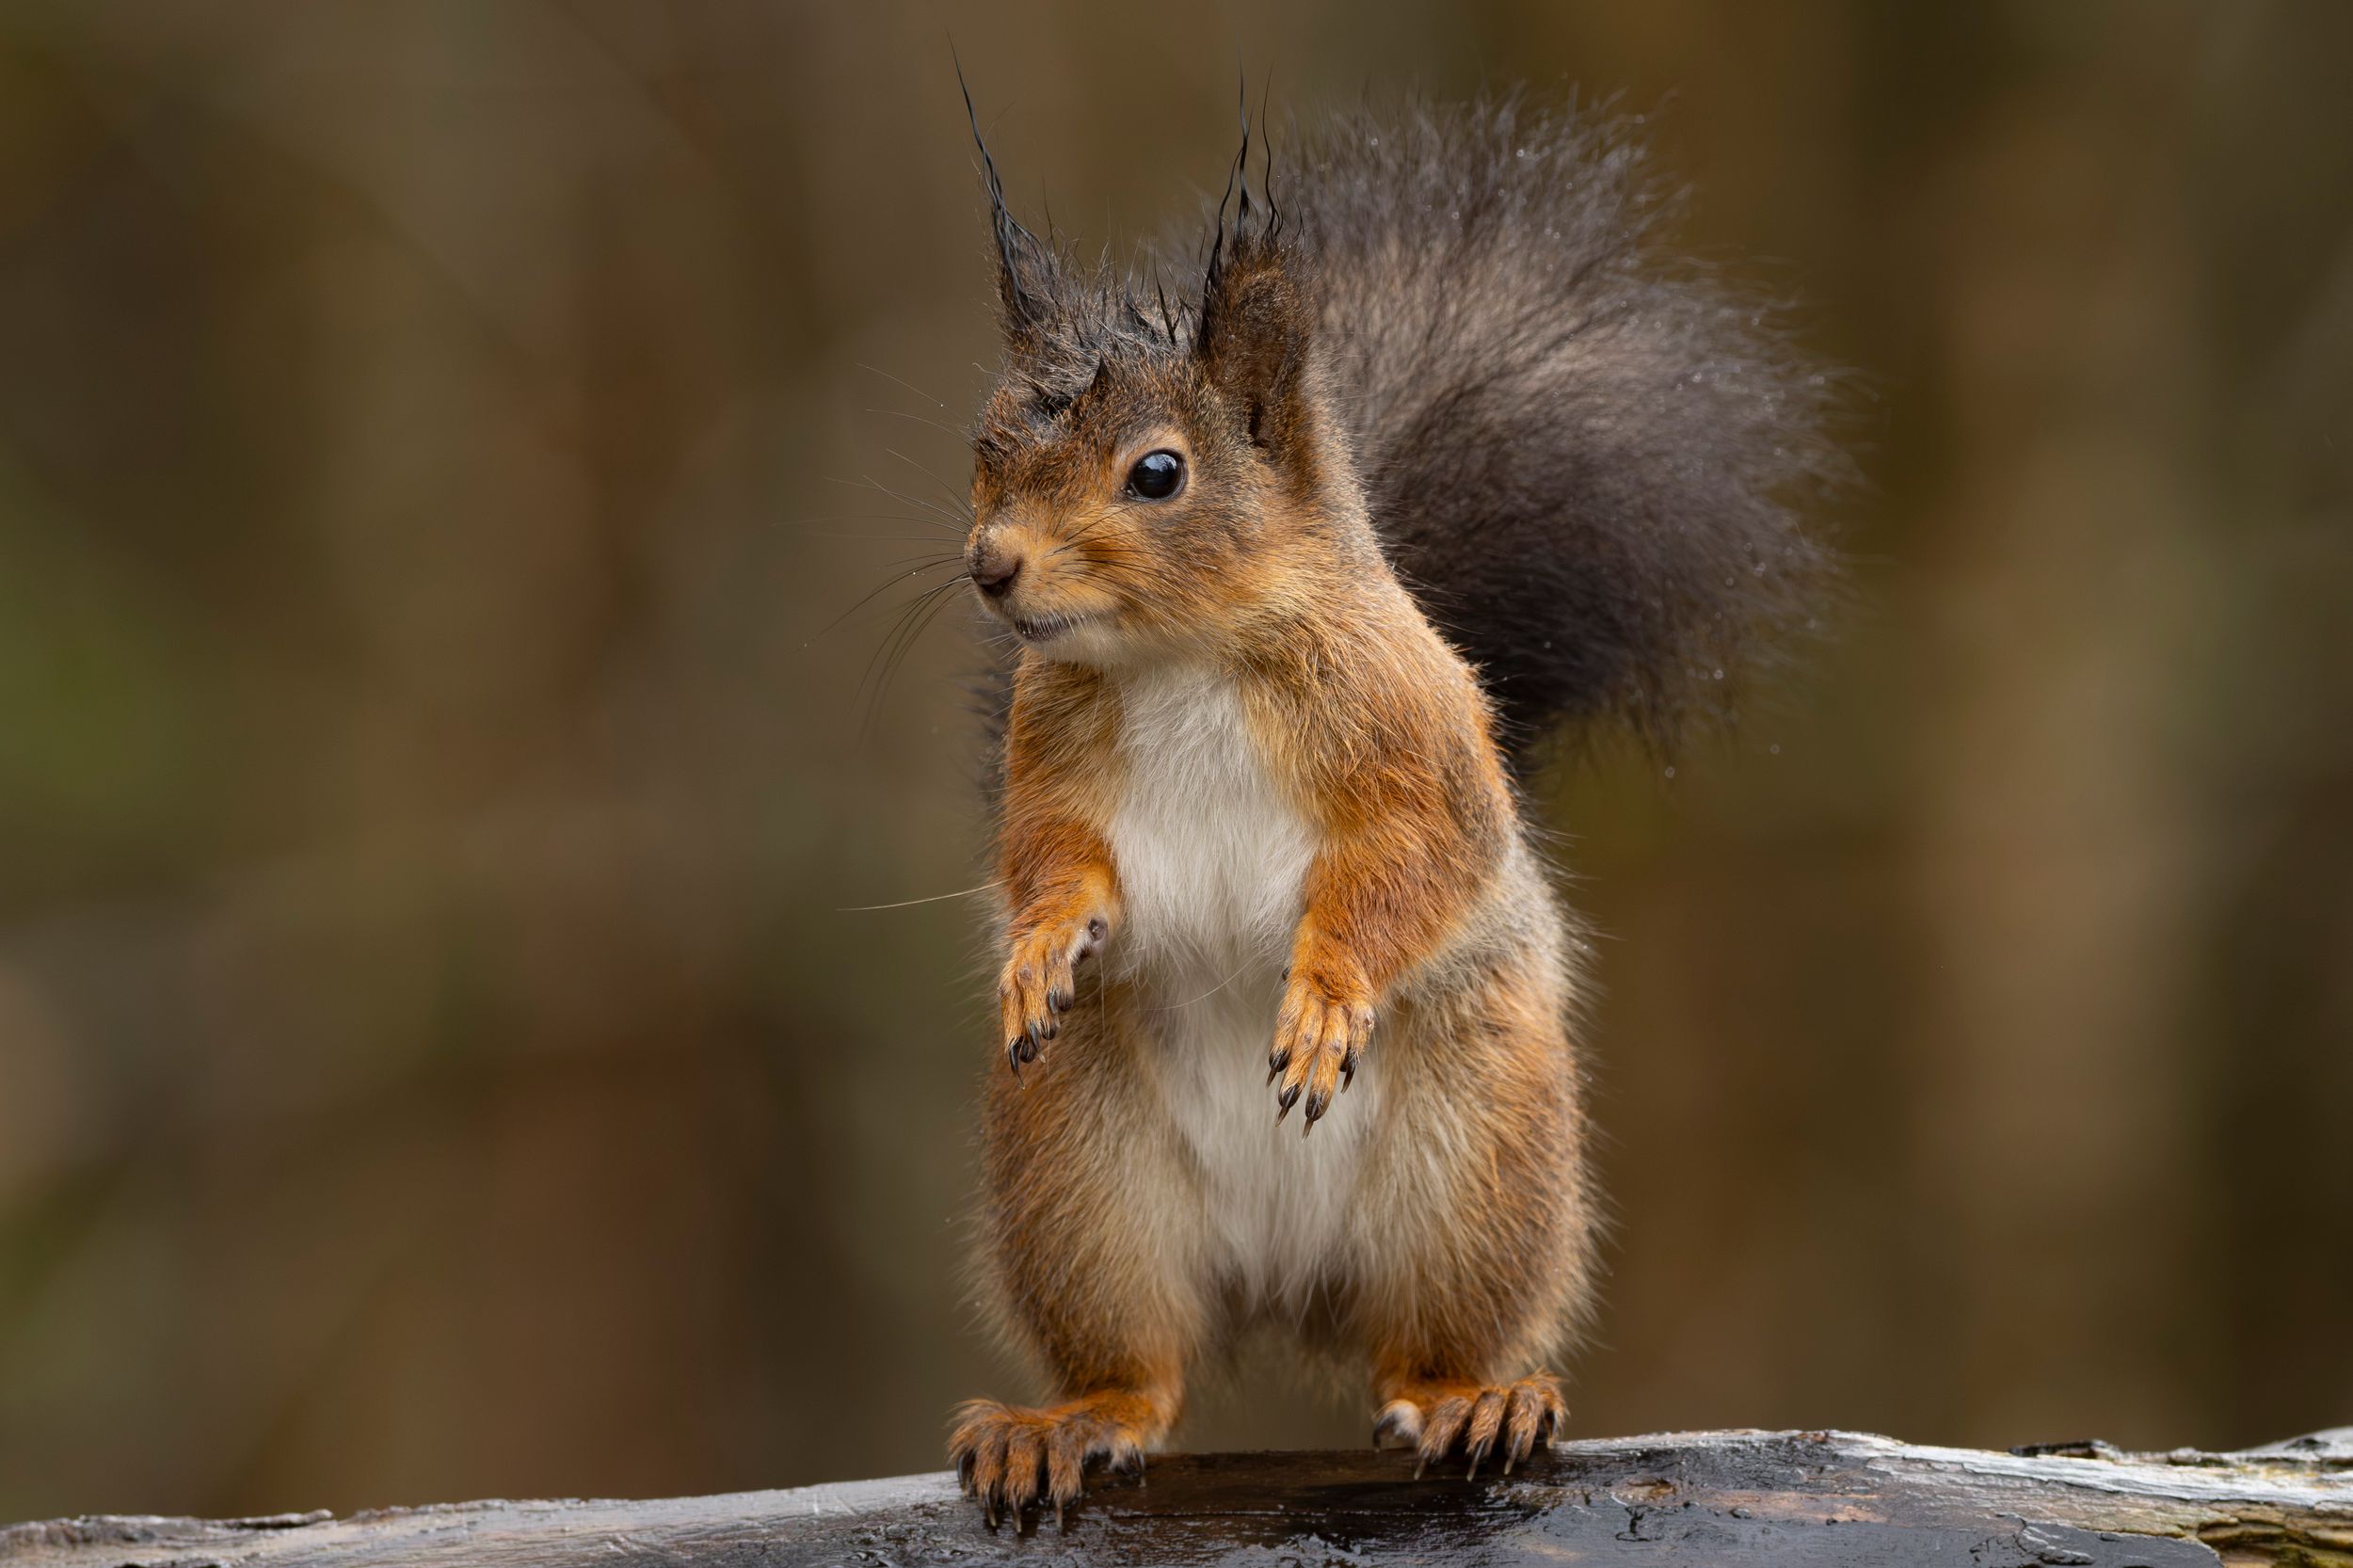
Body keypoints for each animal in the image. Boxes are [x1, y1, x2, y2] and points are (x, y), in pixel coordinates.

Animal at [939, 89, 1838, 1525]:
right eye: (985, 442)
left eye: (1157, 473)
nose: (990, 564)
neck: (1181, 657)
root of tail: (1280, 1286)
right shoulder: (1052, 756)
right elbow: (1046, 855)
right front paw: (1036, 948)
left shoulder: (1413, 733)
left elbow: (1417, 862)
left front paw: (1325, 995)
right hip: (1082, 1183)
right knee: (1141, 1368)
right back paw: (1068, 1420)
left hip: (1473, 1164)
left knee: (1426, 1342)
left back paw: (1478, 1396)